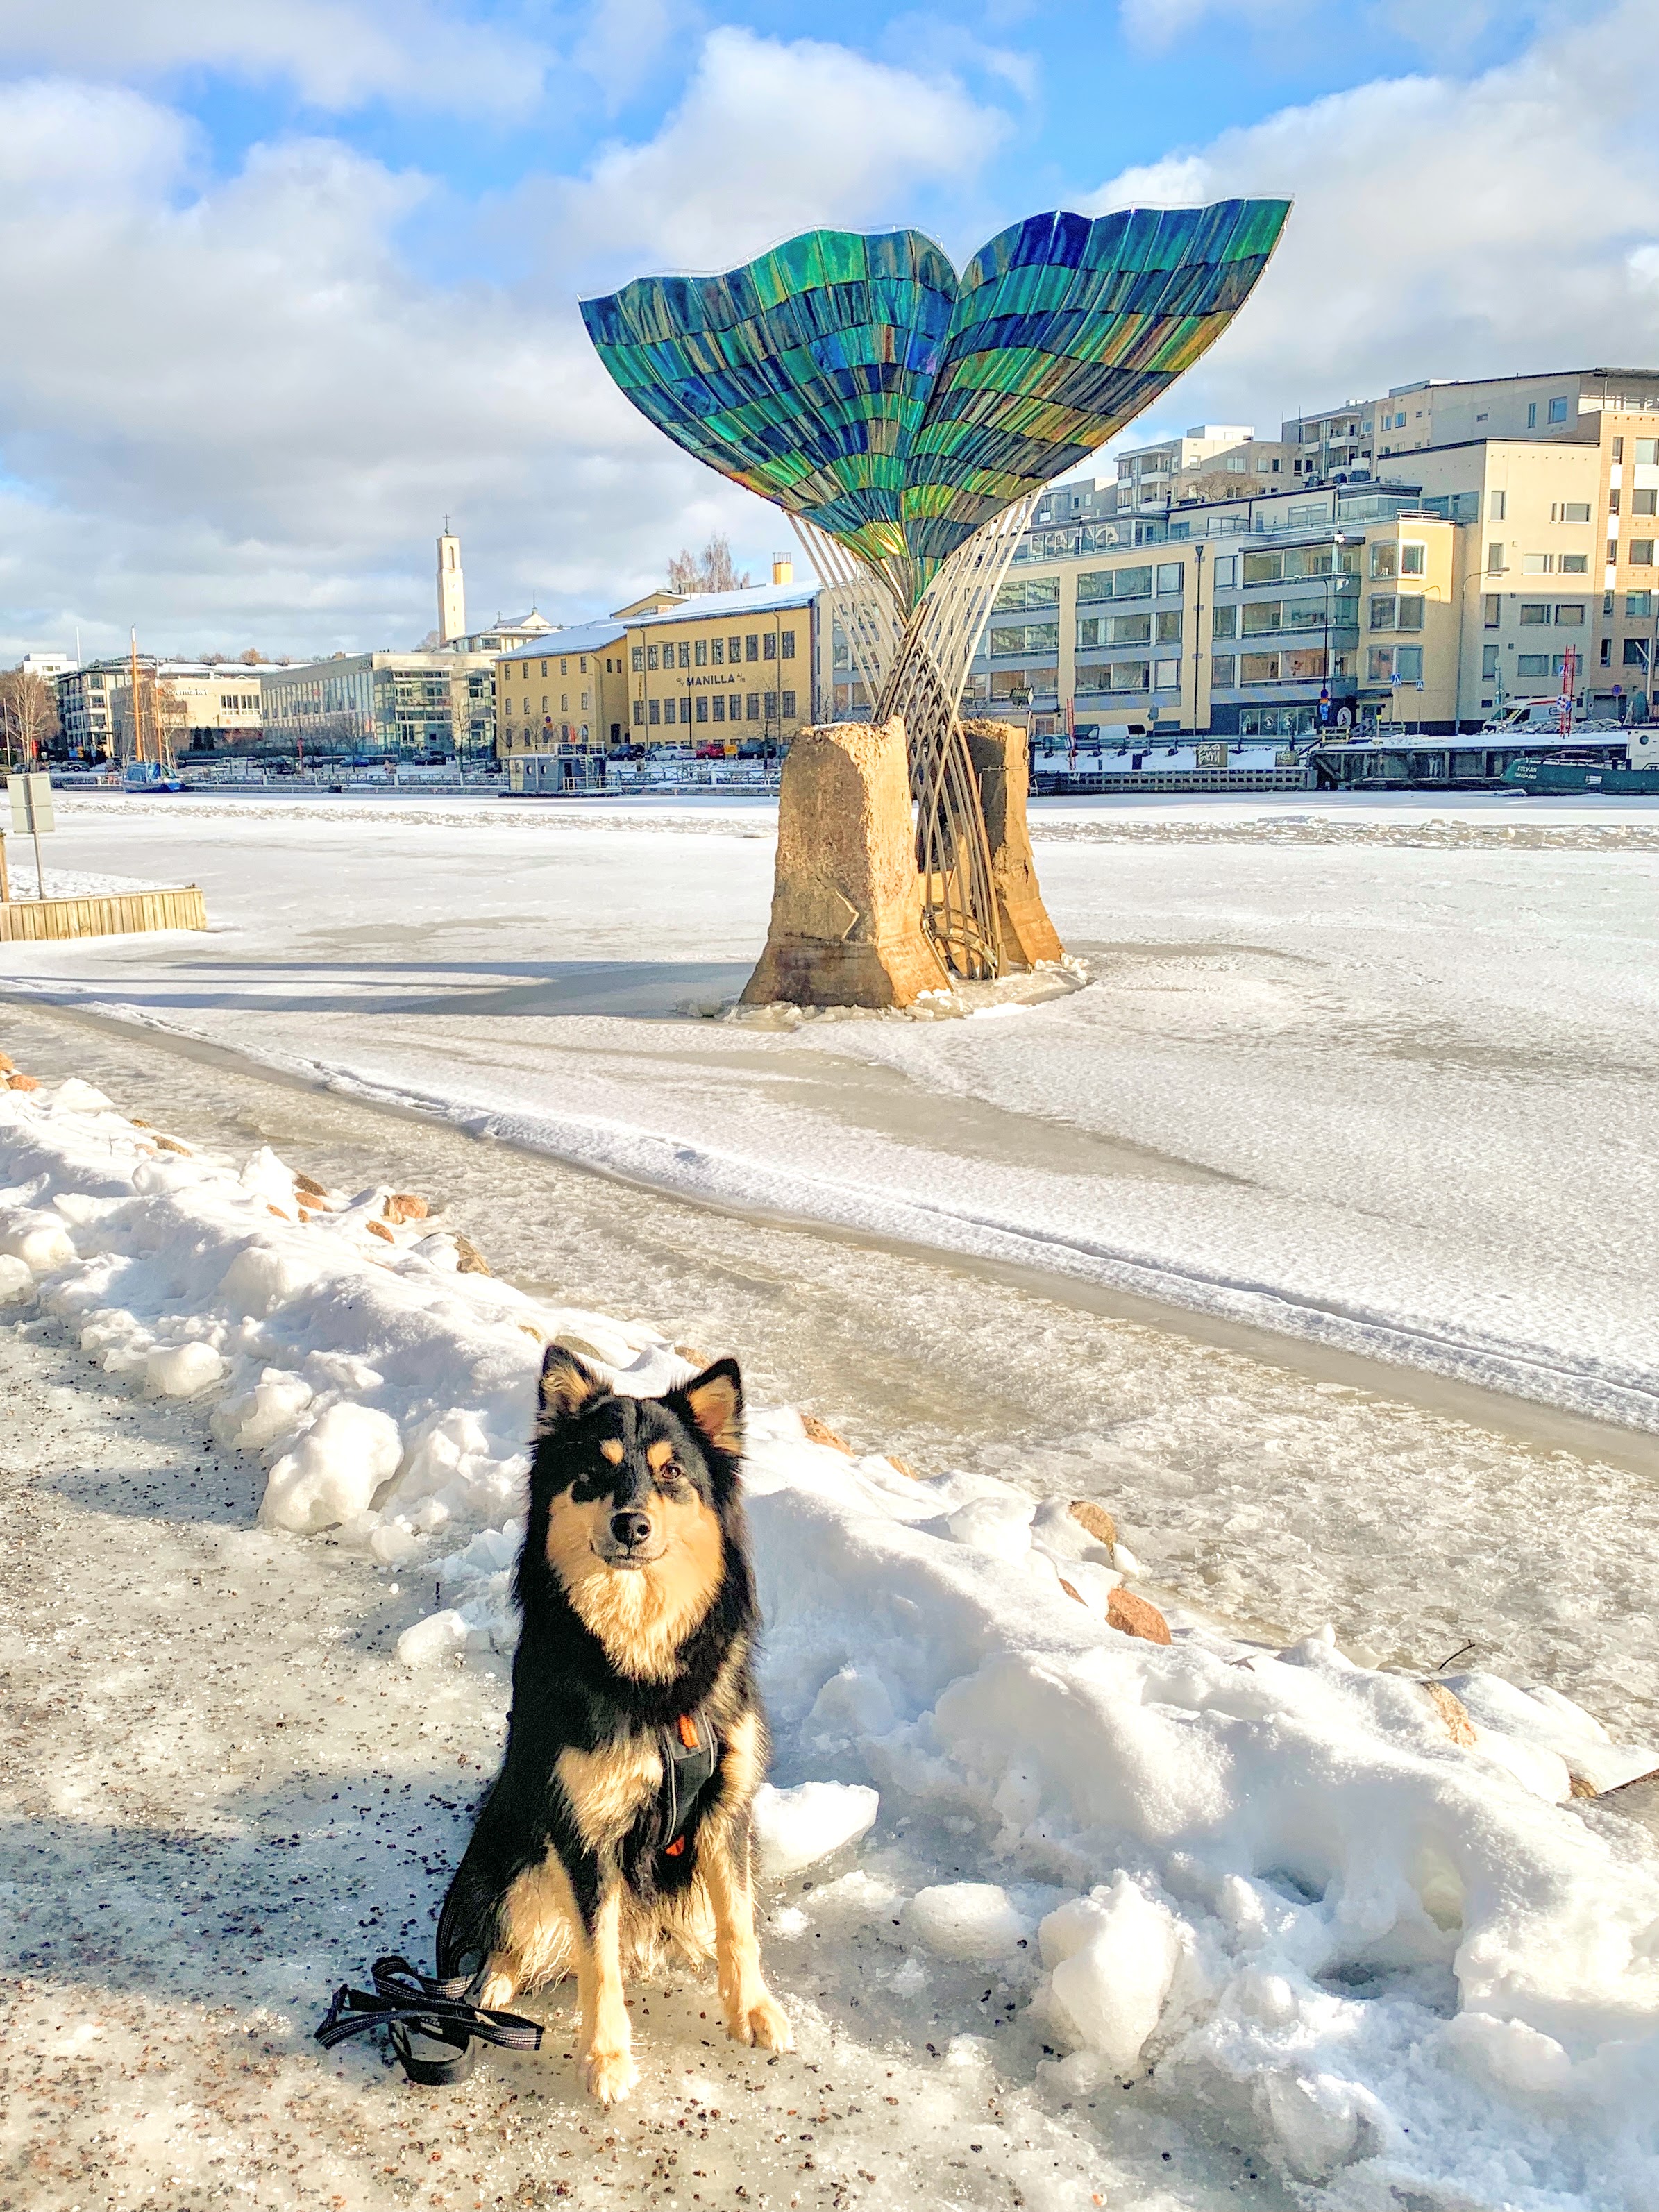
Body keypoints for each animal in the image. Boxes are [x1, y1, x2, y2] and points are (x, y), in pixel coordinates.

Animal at [435, 1343, 793, 2104]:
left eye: (671, 1472)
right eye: (595, 1470)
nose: (633, 1524)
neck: (646, 1660)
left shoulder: (726, 1807)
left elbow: (738, 1921)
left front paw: (751, 2007)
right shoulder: (584, 1828)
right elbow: (596, 1951)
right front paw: (606, 2057)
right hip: (516, 1852)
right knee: (506, 1942)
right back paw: (481, 1998)